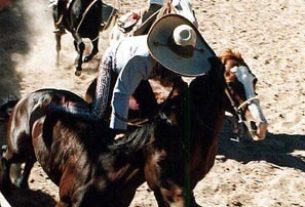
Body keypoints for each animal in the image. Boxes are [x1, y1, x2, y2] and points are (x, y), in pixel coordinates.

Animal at [0, 86, 190, 206]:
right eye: (161, 161)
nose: (186, 202)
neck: (107, 174)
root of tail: (27, 97)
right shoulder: (64, 201)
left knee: (29, 159)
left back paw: (23, 184)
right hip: (18, 148)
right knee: (6, 157)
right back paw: (7, 187)